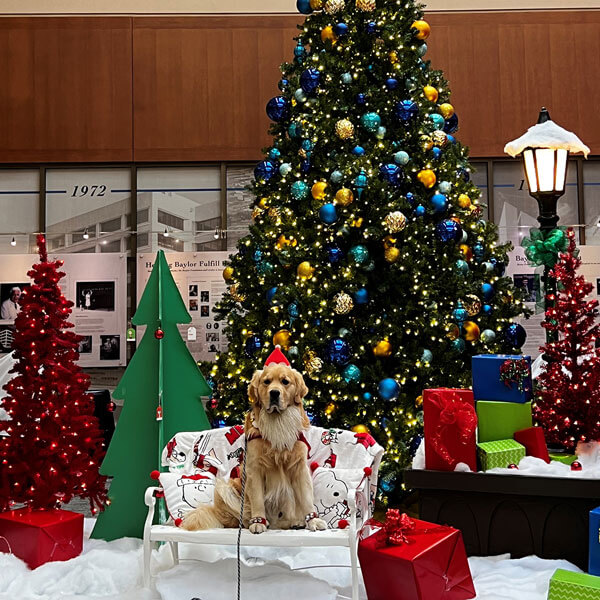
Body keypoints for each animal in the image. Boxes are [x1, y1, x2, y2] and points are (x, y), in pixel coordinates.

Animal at [182, 360, 326, 536]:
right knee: (240, 518)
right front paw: (258, 522)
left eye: (285, 381)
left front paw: (313, 520)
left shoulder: (299, 468)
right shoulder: (254, 470)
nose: (274, 393)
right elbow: (257, 500)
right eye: (266, 381)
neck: (277, 422)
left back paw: (294, 522)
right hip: (225, 488)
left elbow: (306, 498)